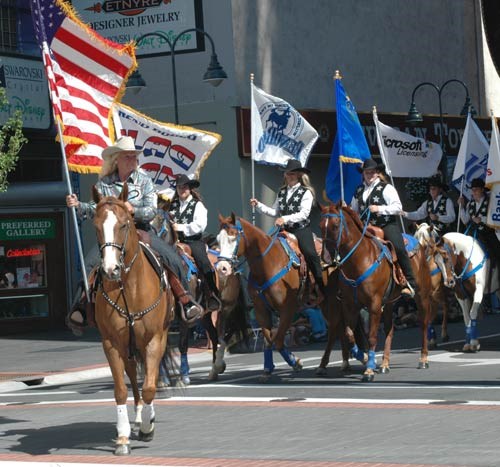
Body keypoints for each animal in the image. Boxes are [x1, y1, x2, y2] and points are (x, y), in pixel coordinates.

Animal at [93, 185, 175, 456]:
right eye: (96, 226)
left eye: (124, 224)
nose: (111, 270)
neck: (129, 288)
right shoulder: (111, 343)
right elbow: (120, 390)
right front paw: (123, 437)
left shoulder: (155, 339)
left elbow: (150, 385)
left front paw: (149, 428)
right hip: (128, 346)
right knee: (132, 375)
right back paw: (138, 416)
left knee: (148, 378)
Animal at [218, 214, 306, 382]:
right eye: (218, 239)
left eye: (233, 237)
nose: (221, 268)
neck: (268, 265)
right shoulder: (261, 310)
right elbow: (268, 340)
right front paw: (267, 369)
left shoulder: (287, 309)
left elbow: (278, 341)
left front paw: (295, 362)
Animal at [320, 203, 434, 382]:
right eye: (320, 226)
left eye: (336, 225)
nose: (325, 257)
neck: (359, 260)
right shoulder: (350, 305)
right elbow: (349, 334)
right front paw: (364, 357)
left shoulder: (373, 304)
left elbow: (372, 336)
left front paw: (368, 370)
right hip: (388, 303)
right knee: (389, 329)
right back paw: (385, 364)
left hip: (422, 296)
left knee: (423, 324)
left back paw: (423, 359)